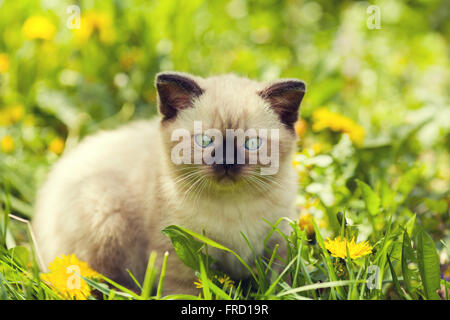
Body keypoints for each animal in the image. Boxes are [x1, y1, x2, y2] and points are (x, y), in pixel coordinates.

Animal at [31, 72, 306, 296]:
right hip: (106, 213)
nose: (227, 162)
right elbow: (185, 292)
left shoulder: (277, 244)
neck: (232, 206)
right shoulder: (179, 256)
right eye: (205, 141)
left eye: (251, 143)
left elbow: (283, 284)